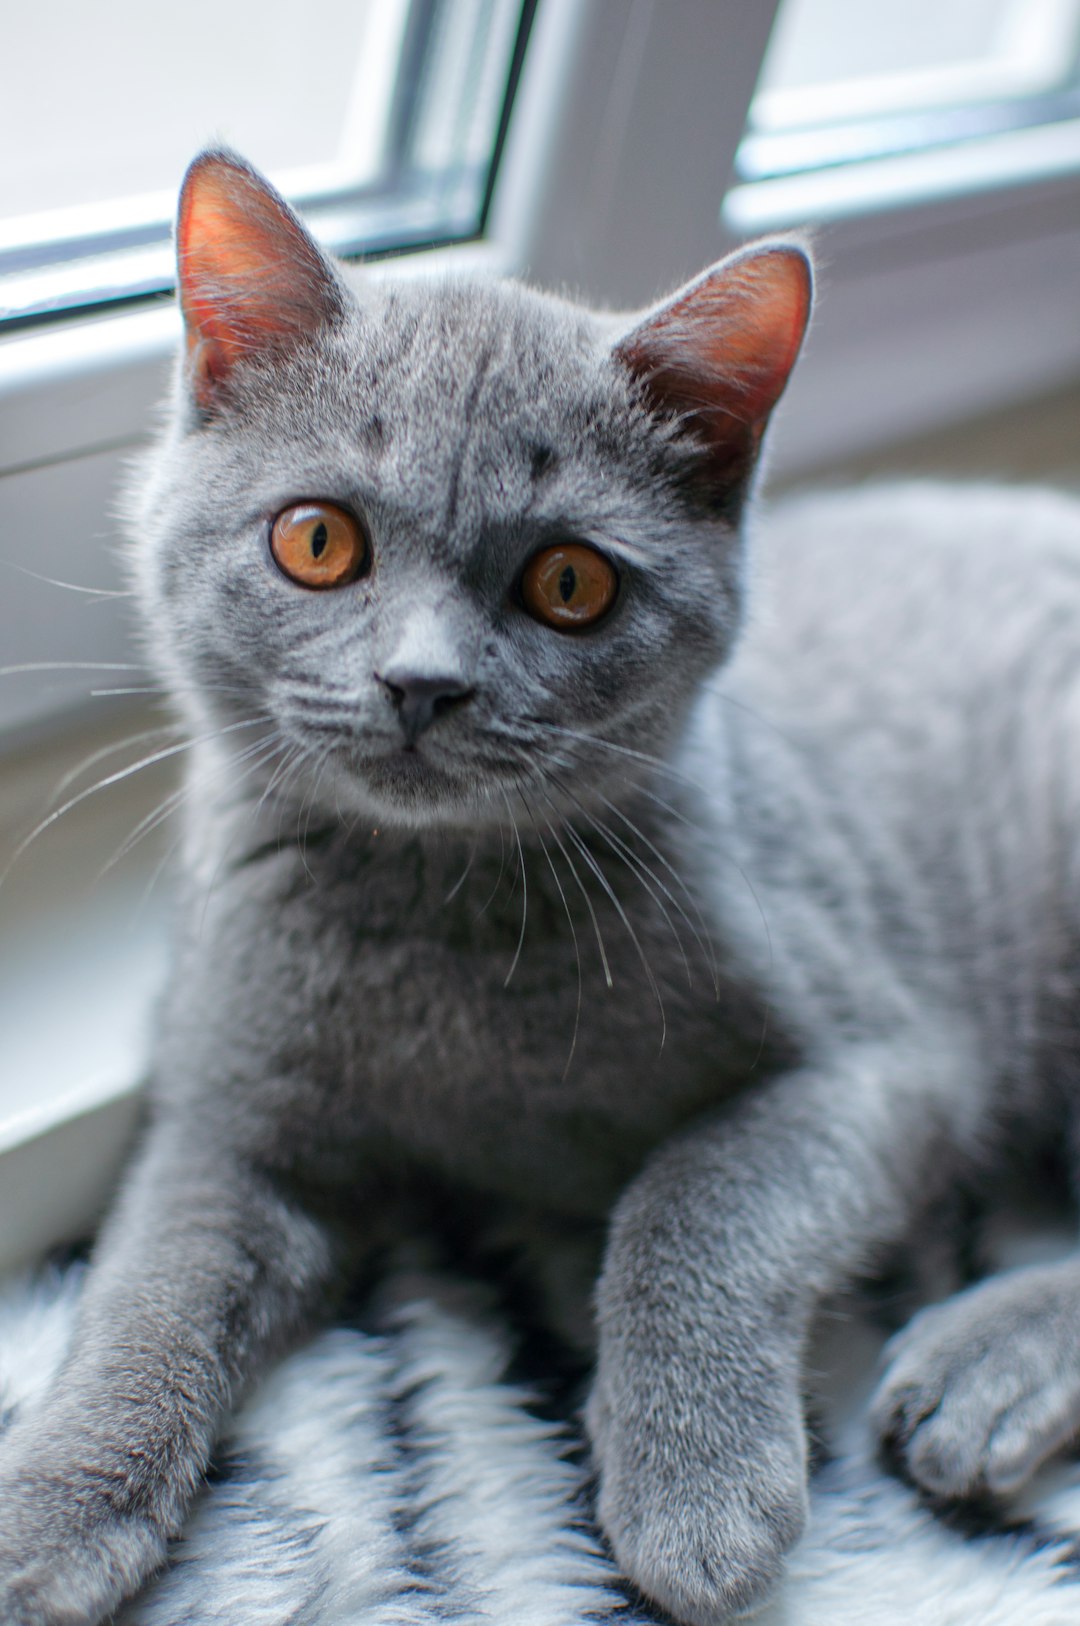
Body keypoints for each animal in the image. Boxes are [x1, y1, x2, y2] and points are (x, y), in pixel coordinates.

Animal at [2, 146, 1080, 1619]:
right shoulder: (231, 1115)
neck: (442, 920)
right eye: (317, 541)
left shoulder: (885, 1060)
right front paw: (53, 1506)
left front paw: (696, 1484)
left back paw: (982, 1370)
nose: (422, 681)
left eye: (571, 582)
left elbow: (696, 1193)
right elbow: (149, 1283)